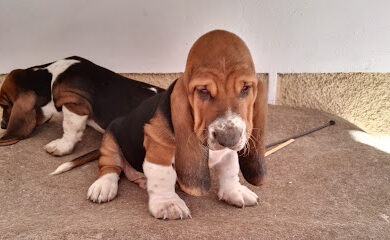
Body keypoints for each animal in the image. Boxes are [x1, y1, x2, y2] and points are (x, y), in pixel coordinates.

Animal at [0, 56, 161, 155]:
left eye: (5, 105)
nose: (2, 125)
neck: (48, 79)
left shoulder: (75, 103)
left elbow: (70, 128)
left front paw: (61, 146)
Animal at [72, 30, 266, 219]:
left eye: (246, 88)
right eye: (203, 91)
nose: (229, 138)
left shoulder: (228, 153)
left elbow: (230, 170)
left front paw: (235, 191)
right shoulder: (159, 146)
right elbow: (163, 176)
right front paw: (168, 204)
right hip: (111, 139)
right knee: (110, 166)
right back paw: (103, 186)